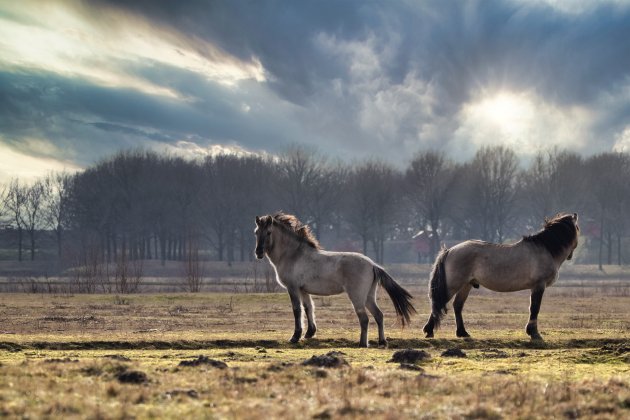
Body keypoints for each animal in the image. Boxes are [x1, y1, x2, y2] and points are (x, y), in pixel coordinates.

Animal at [254, 213, 418, 348]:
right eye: (256, 232)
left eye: (268, 232)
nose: (258, 253)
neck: (294, 255)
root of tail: (372, 264)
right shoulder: (303, 290)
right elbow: (309, 308)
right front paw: (309, 333)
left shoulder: (293, 288)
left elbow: (297, 310)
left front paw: (295, 337)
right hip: (369, 297)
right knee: (379, 315)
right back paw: (382, 342)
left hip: (357, 297)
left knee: (364, 318)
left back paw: (362, 343)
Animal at [424, 213, 584, 342]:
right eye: (578, 228)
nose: (571, 256)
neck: (545, 249)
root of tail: (450, 250)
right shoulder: (539, 285)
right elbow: (534, 308)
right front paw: (534, 333)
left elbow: (533, 308)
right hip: (454, 285)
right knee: (439, 302)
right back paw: (429, 331)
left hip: (466, 285)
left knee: (457, 306)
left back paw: (462, 333)